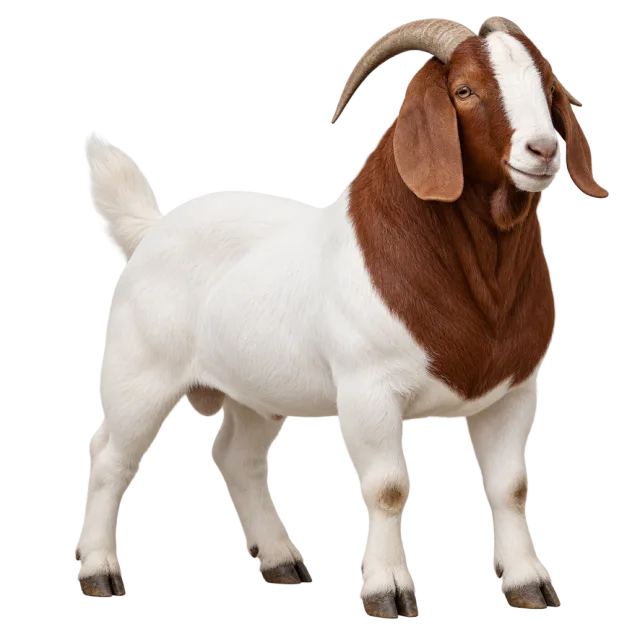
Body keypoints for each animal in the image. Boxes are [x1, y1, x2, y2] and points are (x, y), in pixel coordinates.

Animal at [78, 15, 608, 616]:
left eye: (549, 88)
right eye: (464, 90)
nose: (543, 150)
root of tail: (151, 230)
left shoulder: (515, 391)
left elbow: (511, 487)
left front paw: (529, 585)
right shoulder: (369, 389)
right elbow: (387, 487)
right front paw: (389, 592)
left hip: (254, 391)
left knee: (237, 457)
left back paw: (281, 562)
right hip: (140, 376)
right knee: (110, 459)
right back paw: (98, 572)